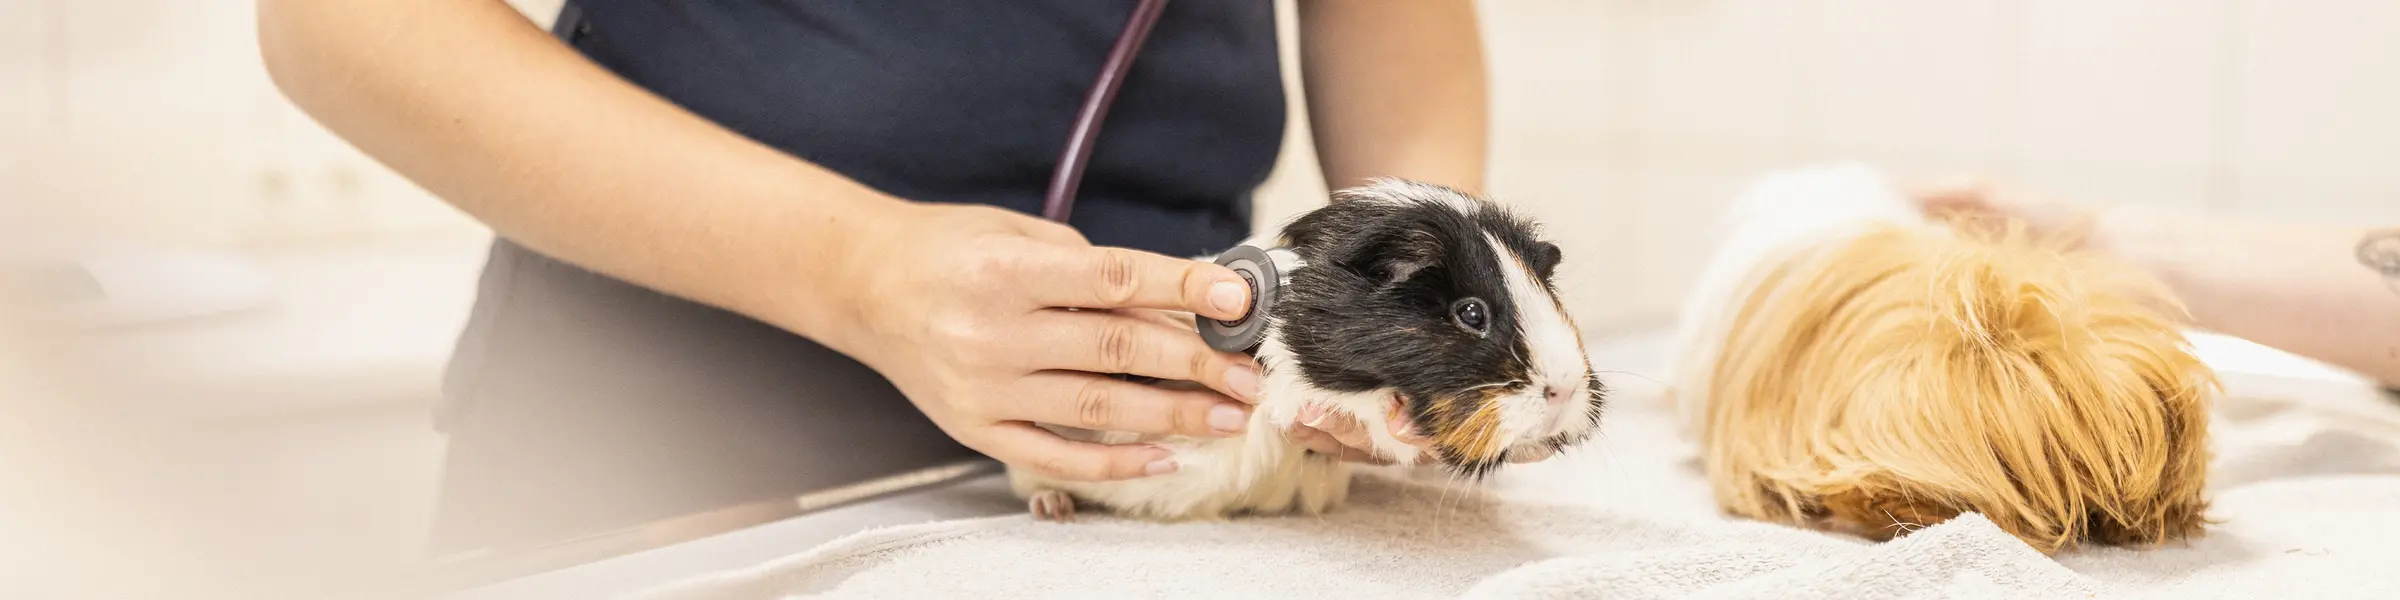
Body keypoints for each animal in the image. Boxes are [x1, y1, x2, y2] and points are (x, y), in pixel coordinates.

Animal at [1009, 179, 1609, 521]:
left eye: (1547, 295)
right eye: (1470, 313)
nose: (1565, 390)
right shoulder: (1294, 387)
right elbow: (1360, 407)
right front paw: (1403, 424)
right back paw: (1055, 510)